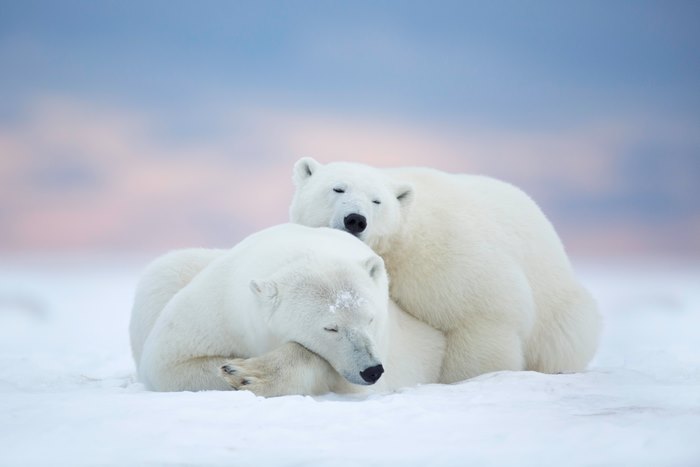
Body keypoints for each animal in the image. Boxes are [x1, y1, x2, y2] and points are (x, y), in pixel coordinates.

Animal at [129, 223, 445, 396]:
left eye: (370, 319)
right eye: (331, 327)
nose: (372, 370)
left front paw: (248, 373)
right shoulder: (218, 308)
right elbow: (169, 363)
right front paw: (235, 369)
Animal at [289, 158, 601, 383]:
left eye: (377, 201)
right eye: (337, 188)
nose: (355, 219)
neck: (402, 243)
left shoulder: (447, 259)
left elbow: (481, 316)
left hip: (558, 310)